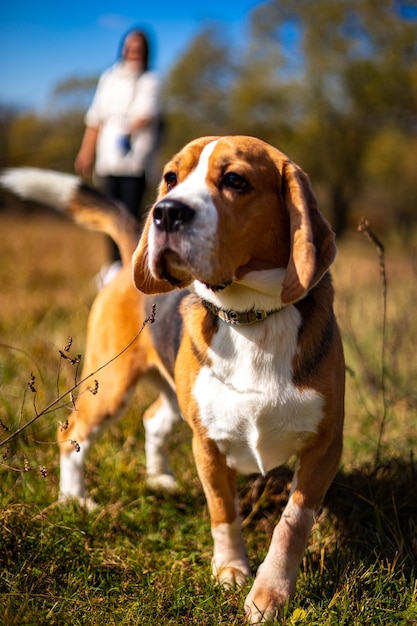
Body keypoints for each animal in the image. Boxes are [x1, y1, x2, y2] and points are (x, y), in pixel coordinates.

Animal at [0, 135, 344, 620]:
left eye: (235, 180)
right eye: (170, 177)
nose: (164, 212)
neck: (253, 319)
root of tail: (129, 253)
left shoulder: (325, 446)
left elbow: (292, 525)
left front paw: (269, 595)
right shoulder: (208, 445)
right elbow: (223, 512)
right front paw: (230, 571)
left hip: (172, 398)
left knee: (152, 420)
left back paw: (158, 477)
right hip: (110, 389)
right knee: (70, 431)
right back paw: (75, 500)